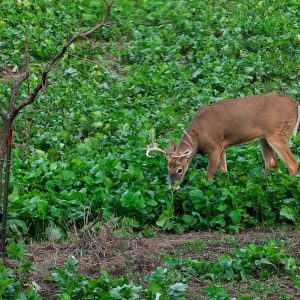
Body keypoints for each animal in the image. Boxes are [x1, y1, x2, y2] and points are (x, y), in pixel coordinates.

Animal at [146, 94, 300, 190]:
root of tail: (296, 105)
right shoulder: (222, 147)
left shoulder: (214, 147)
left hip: (278, 134)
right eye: (168, 169)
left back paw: (289, 187)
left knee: (292, 163)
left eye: (180, 169)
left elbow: (209, 175)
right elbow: (224, 170)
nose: (173, 188)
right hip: (264, 137)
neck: (198, 136)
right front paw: (225, 186)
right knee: (271, 163)